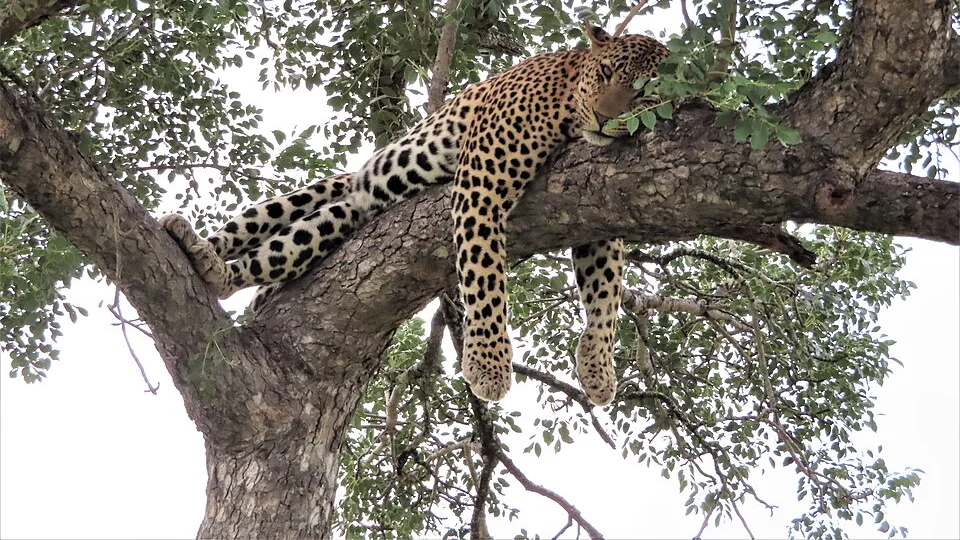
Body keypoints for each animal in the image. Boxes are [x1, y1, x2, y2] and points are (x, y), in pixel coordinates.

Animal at [160, 24, 669, 406]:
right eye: (605, 72)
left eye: (645, 93)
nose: (604, 119)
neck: (567, 104)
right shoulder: (481, 182)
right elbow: (485, 274)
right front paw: (488, 364)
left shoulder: (595, 208)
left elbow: (606, 292)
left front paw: (598, 367)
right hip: (317, 193)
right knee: (247, 233)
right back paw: (202, 251)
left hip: (333, 219)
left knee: (284, 250)